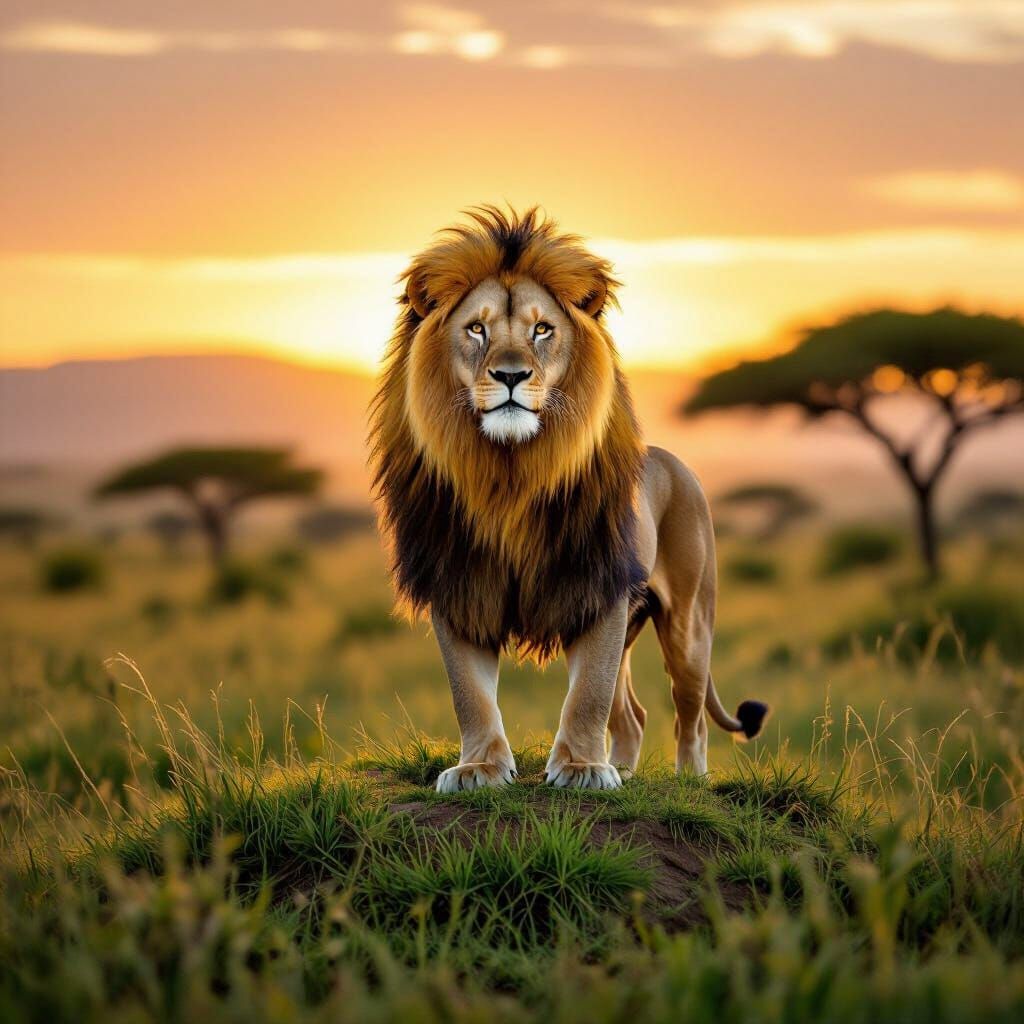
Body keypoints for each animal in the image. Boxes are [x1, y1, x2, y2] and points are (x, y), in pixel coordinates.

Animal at [369, 206, 768, 792]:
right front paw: (480, 767)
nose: (511, 375)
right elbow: (470, 694)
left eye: (542, 329)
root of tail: (675, 462)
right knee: (633, 715)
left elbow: (588, 695)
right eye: (476, 328)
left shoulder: (596, 584)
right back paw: (623, 768)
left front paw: (581, 768)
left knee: (688, 717)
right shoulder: (458, 583)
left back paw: (686, 783)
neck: (509, 474)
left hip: (689, 624)